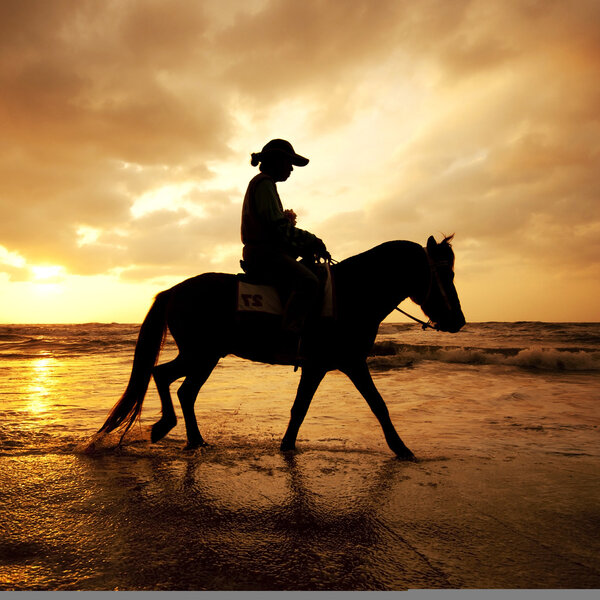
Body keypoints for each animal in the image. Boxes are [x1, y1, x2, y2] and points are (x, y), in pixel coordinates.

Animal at [99, 236, 464, 460]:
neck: (352, 294)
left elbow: (300, 409)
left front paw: (287, 446)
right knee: (166, 377)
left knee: (180, 387)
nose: (458, 320)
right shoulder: (349, 362)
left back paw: (194, 439)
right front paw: (402, 449)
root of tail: (174, 290)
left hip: (206, 355)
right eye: (445, 274)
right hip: (201, 354)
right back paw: (167, 427)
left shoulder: (321, 366)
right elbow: (378, 405)